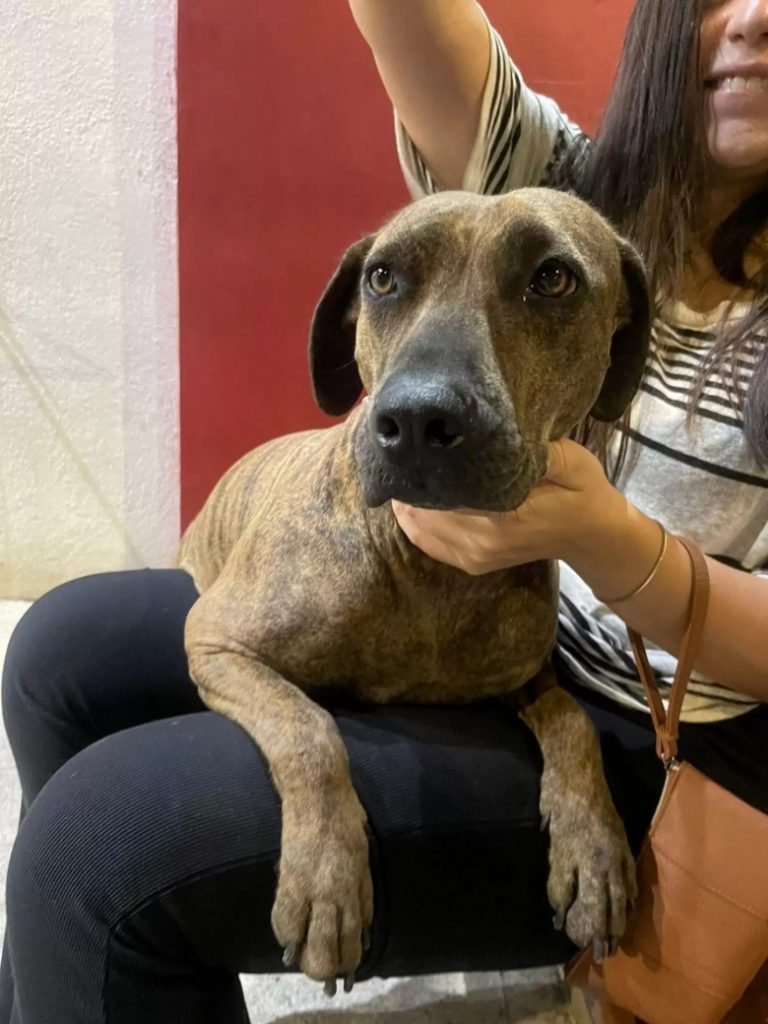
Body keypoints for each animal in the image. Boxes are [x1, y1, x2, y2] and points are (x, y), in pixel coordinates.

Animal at [179, 190, 651, 991]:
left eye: (553, 279)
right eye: (382, 278)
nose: (419, 418)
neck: (431, 572)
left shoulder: (526, 677)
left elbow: (573, 722)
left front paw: (594, 853)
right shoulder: (217, 642)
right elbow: (309, 729)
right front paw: (327, 882)